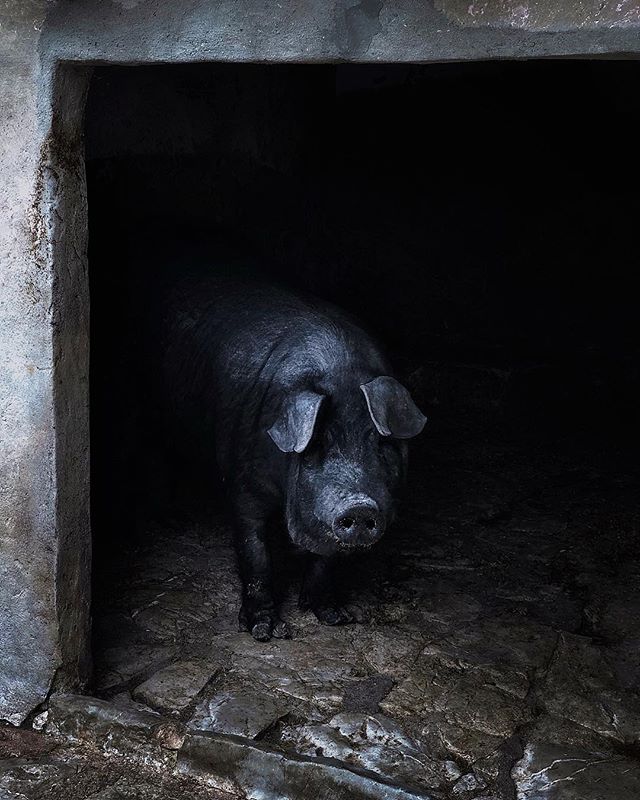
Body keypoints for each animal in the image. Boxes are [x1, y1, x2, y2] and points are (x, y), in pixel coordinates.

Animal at [160, 270, 426, 641]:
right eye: (317, 442)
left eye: (380, 442)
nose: (359, 506)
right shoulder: (241, 483)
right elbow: (254, 553)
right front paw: (265, 632)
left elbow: (326, 559)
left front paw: (335, 617)